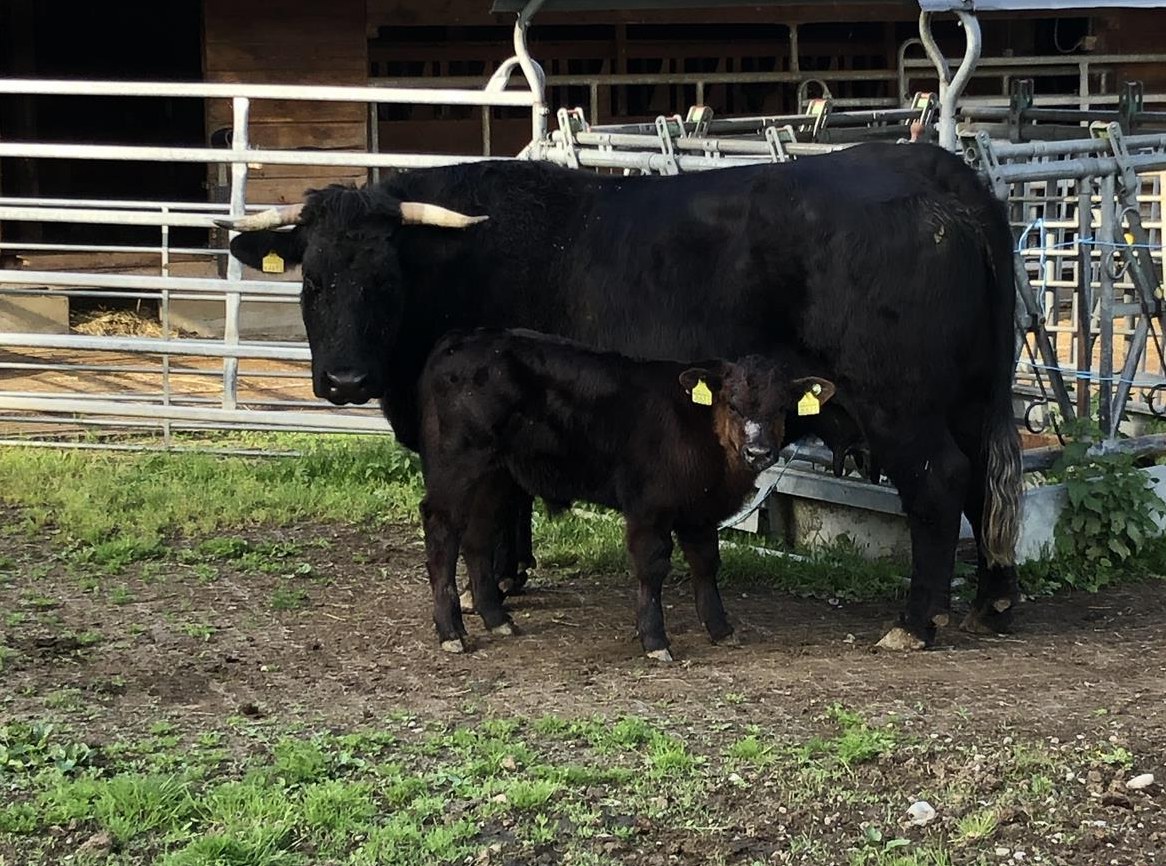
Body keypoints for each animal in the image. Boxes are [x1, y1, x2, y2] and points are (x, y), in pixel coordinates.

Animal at [416, 327, 836, 659]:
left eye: (782, 408)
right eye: (732, 404)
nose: (759, 452)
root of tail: (459, 341)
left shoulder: (699, 510)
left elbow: (705, 563)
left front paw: (720, 629)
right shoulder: (649, 505)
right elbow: (652, 566)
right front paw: (655, 640)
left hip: (496, 475)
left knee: (478, 535)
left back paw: (497, 619)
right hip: (457, 465)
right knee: (441, 530)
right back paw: (452, 632)